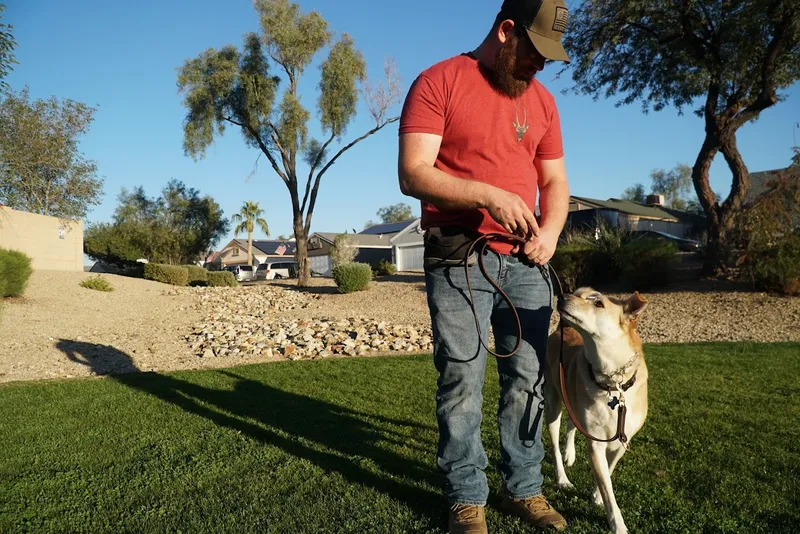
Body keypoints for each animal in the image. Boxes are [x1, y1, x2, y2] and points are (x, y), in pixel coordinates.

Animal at [544, 288, 648, 534]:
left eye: (598, 303)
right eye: (577, 295)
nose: (562, 296)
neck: (613, 382)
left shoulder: (622, 439)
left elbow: (608, 472)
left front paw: (596, 496)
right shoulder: (595, 443)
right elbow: (608, 488)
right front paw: (618, 524)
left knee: (571, 424)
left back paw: (570, 453)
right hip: (553, 404)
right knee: (555, 443)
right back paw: (562, 476)